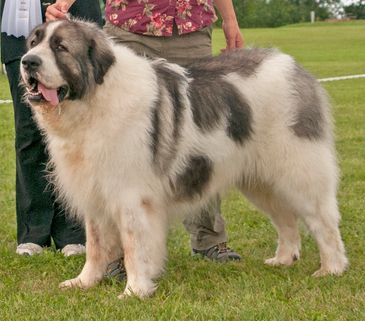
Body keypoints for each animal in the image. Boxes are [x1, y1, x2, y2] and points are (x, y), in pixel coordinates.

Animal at [20, 19, 346, 296]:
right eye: (34, 43)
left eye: (61, 47)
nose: (28, 62)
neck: (94, 100)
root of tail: (295, 68)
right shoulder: (96, 194)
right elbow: (96, 246)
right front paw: (84, 282)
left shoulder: (130, 197)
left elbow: (134, 247)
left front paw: (134, 291)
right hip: (260, 182)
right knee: (286, 220)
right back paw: (283, 259)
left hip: (300, 173)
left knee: (323, 221)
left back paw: (332, 268)